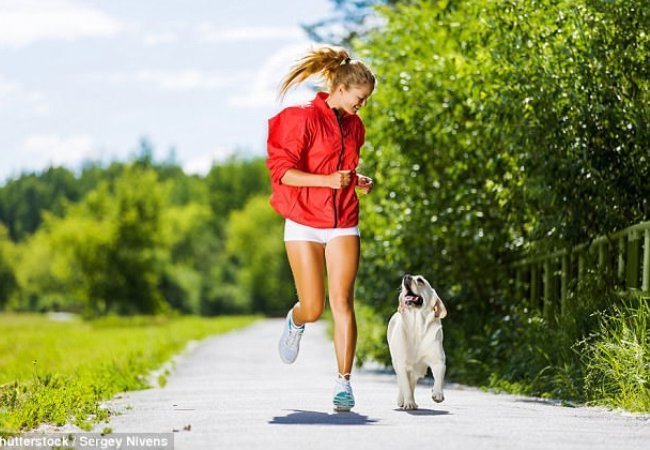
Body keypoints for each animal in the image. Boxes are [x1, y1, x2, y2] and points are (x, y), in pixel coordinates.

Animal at [384, 272, 446, 410]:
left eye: (420, 280)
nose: (406, 276)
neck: (417, 326)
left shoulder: (438, 360)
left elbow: (439, 377)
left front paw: (437, 394)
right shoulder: (402, 364)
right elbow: (405, 386)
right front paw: (408, 403)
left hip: (418, 370)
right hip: (397, 363)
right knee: (402, 383)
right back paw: (403, 400)